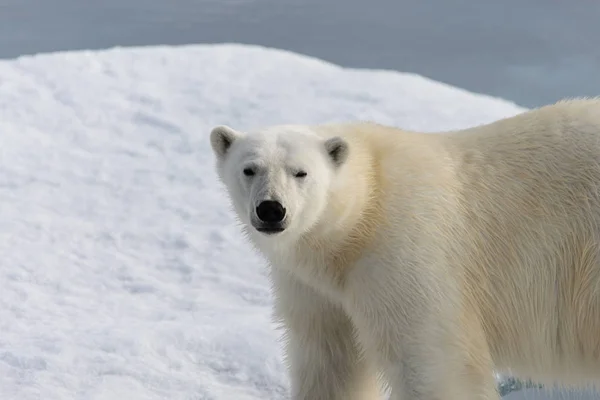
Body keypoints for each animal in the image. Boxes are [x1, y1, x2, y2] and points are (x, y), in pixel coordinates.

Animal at [211, 97, 600, 400]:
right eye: (249, 169)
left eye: (300, 172)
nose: (271, 210)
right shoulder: (315, 289)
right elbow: (331, 362)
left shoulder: (404, 250)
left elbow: (434, 362)